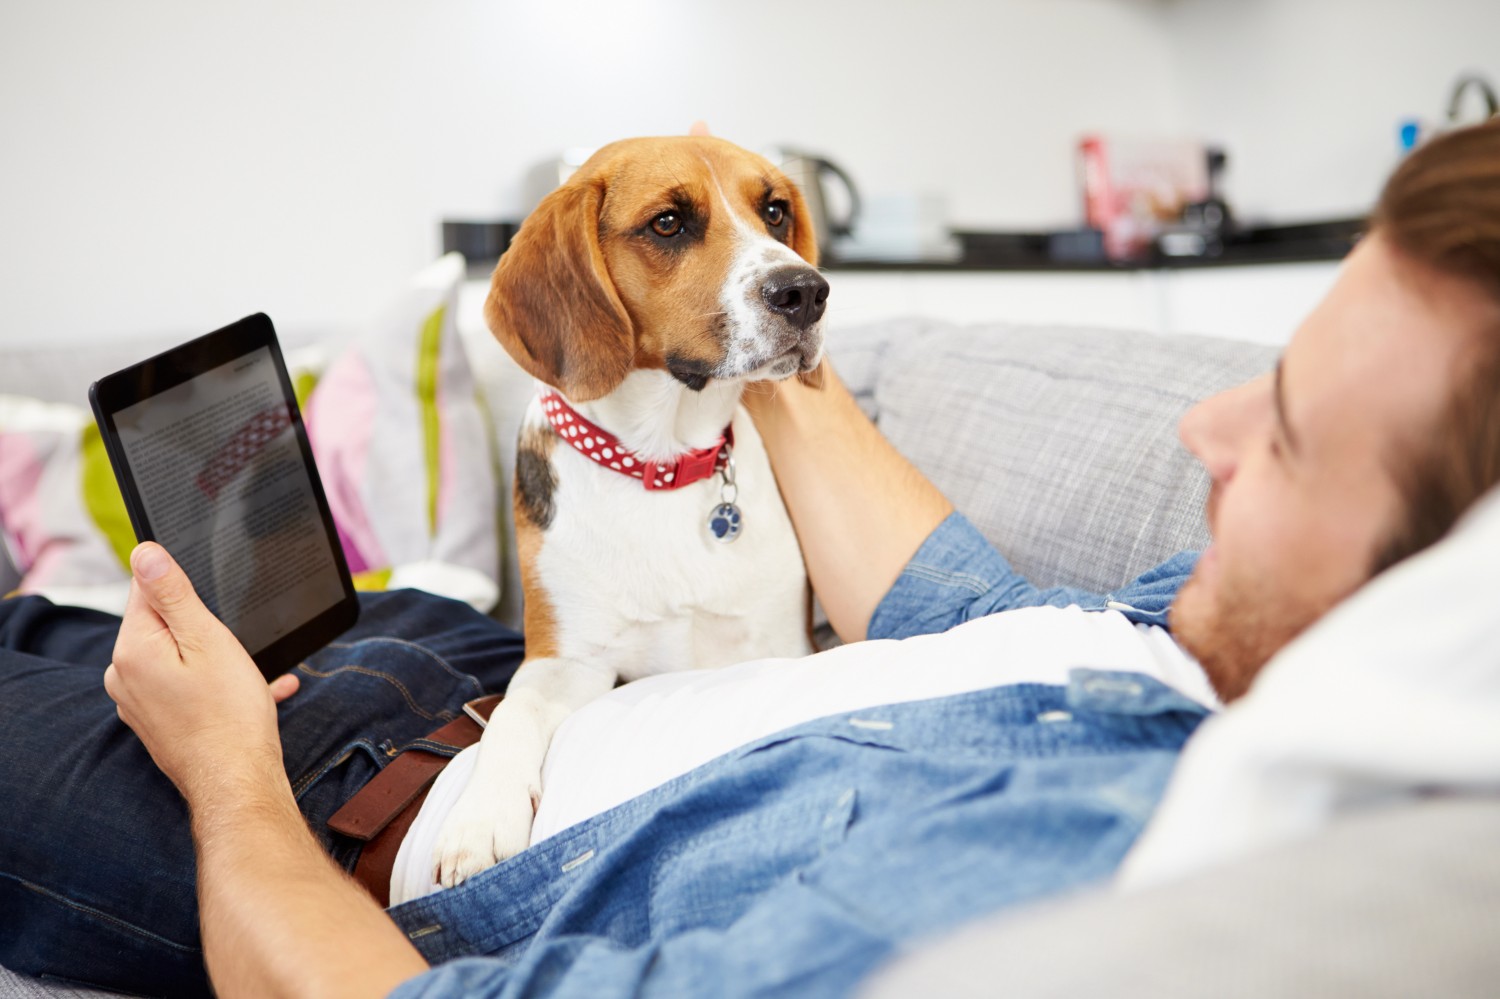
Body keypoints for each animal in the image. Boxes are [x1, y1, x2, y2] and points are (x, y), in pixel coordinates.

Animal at [435, 134, 834, 882]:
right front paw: (479, 820)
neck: (662, 459)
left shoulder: (779, 644)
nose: (807, 291)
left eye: (774, 210)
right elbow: (510, 714)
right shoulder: (567, 660)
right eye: (668, 223)